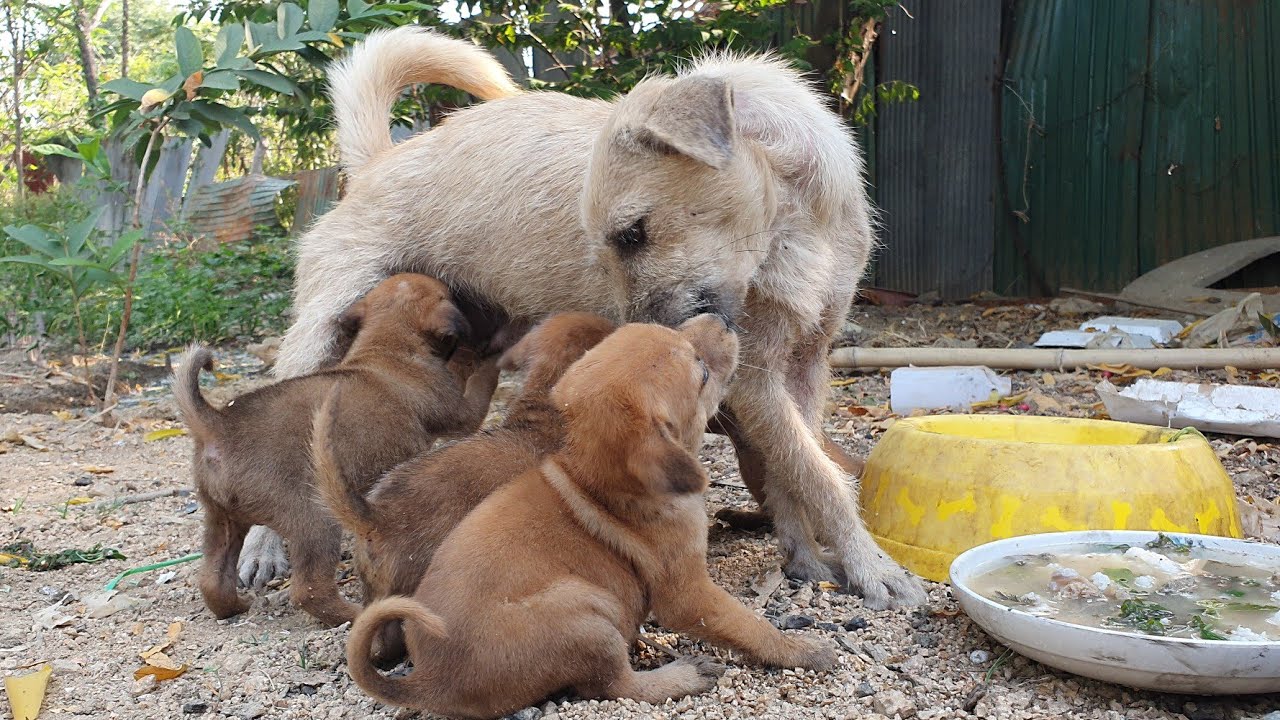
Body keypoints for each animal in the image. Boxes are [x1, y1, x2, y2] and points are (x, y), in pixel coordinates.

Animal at [175, 271, 499, 625]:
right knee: (310, 590)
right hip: (316, 520)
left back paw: (236, 607)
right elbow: (481, 381)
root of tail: (217, 424)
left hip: (221, 521)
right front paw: (490, 358)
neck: (386, 346)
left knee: (213, 582)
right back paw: (354, 614)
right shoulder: (462, 412)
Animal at [238, 25, 921, 604]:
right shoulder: (755, 377)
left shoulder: (803, 365)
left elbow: (797, 475)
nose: (653, 342)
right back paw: (265, 549)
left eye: (633, 234)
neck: (794, 228)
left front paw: (811, 559)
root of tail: (377, 163)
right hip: (317, 341)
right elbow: (819, 477)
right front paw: (873, 568)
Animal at [345, 315, 834, 717]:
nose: (725, 317)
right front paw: (802, 650)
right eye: (702, 372)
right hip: (584, 609)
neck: (597, 479)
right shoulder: (688, 594)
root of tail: (429, 682)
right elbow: (750, 625)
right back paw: (684, 674)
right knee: (615, 685)